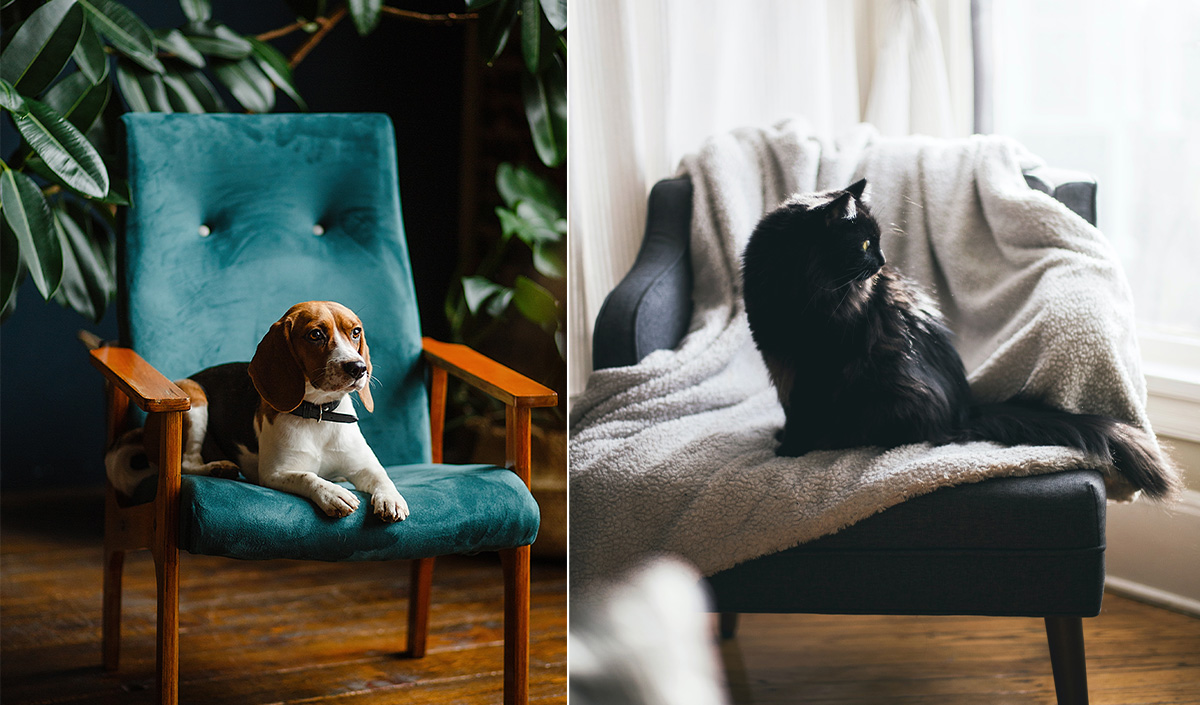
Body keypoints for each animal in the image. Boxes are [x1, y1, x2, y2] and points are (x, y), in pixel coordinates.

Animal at [108, 299, 408, 520]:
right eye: (316, 335)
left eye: (355, 332)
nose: (359, 368)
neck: (319, 413)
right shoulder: (275, 474)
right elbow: (308, 476)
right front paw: (332, 493)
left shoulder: (364, 465)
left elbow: (382, 476)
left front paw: (391, 498)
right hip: (194, 397)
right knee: (187, 464)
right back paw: (218, 468)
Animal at [739, 179, 1180, 501]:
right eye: (864, 244)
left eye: (877, 241)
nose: (882, 262)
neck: (791, 290)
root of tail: (963, 410)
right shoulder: (779, 358)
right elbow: (791, 408)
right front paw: (785, 439)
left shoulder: (817, 366)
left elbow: (803, 412)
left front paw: (791, 449)